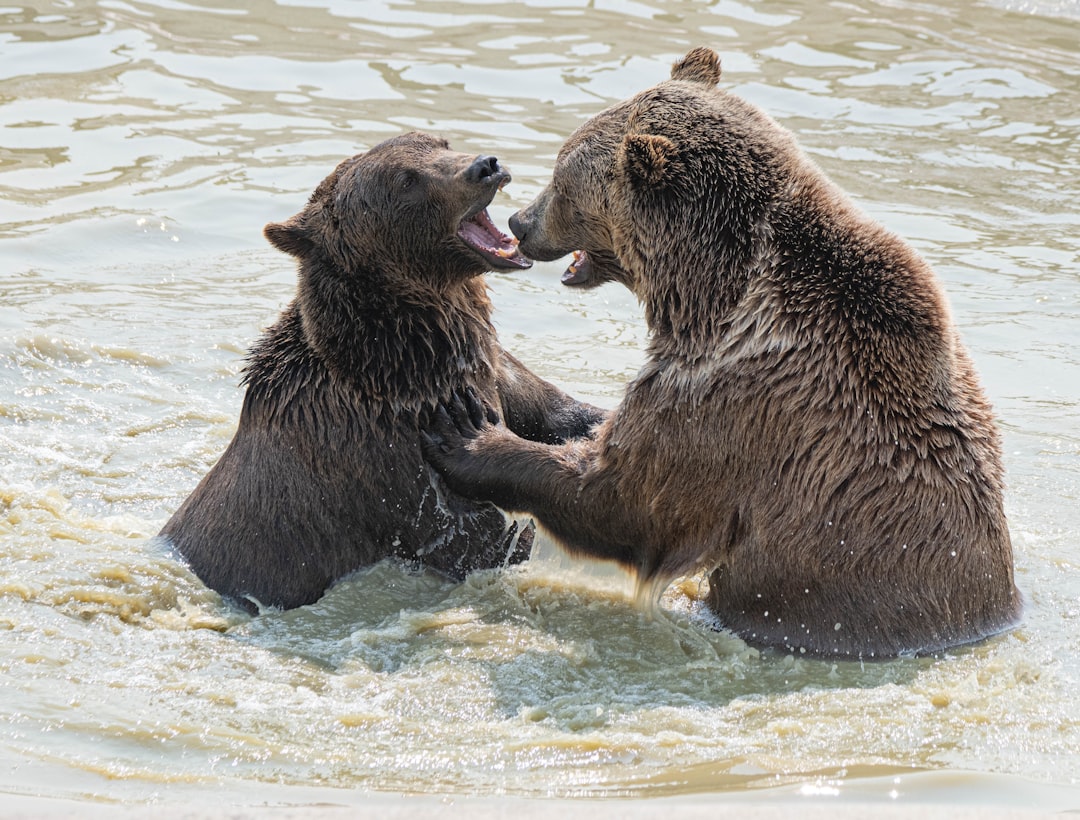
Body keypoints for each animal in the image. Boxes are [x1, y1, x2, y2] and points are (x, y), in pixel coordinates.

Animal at [157, 128, 609, 613]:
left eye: (440, 142)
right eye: (406, 180)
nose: (485, 166)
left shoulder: (492, 368)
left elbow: (558, 412)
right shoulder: (390, 457)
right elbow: (478, 537)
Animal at [421, 48, 1019, 661]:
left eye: (563, 181)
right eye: (562, 166)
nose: (521, 221)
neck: (709, 294)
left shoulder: (732, 397)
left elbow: (625, 497)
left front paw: (469, 435)